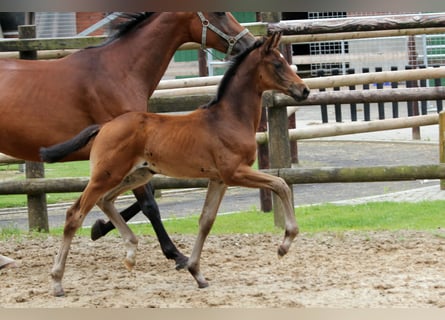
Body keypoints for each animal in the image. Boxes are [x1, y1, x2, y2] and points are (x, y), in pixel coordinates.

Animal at [40, 32, 308, 296]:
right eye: (277, 64)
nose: (303, 90)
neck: (228, 119)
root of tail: (104, 126)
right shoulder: (235, 173)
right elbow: (281, 183)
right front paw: (285, 243)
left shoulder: (218, 179)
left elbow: (206, 221)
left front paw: (197, 273)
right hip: (106, 175)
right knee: (75, 214)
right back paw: (57, 281)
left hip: (136, 175)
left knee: (105, 201)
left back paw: (131, 252)